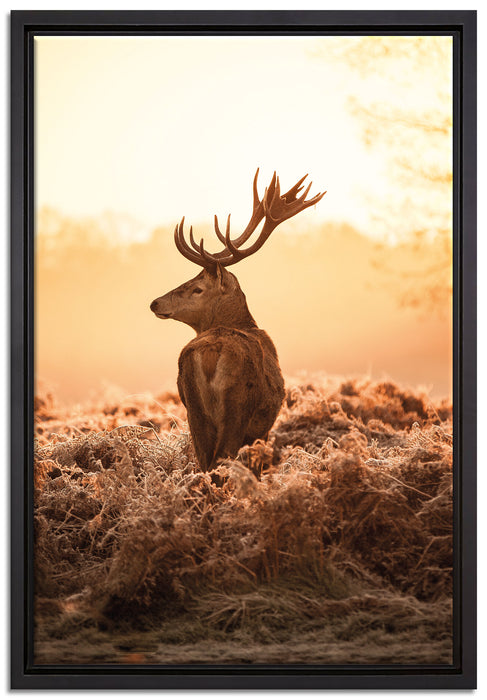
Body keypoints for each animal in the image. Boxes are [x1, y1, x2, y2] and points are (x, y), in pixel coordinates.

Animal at [150, 169, 325, 475]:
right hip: (238, 407)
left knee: (204, 462)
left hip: (193, 409)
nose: (155, 303)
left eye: (197, 288)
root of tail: (210, 353)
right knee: (221, 460)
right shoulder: (262, 428)